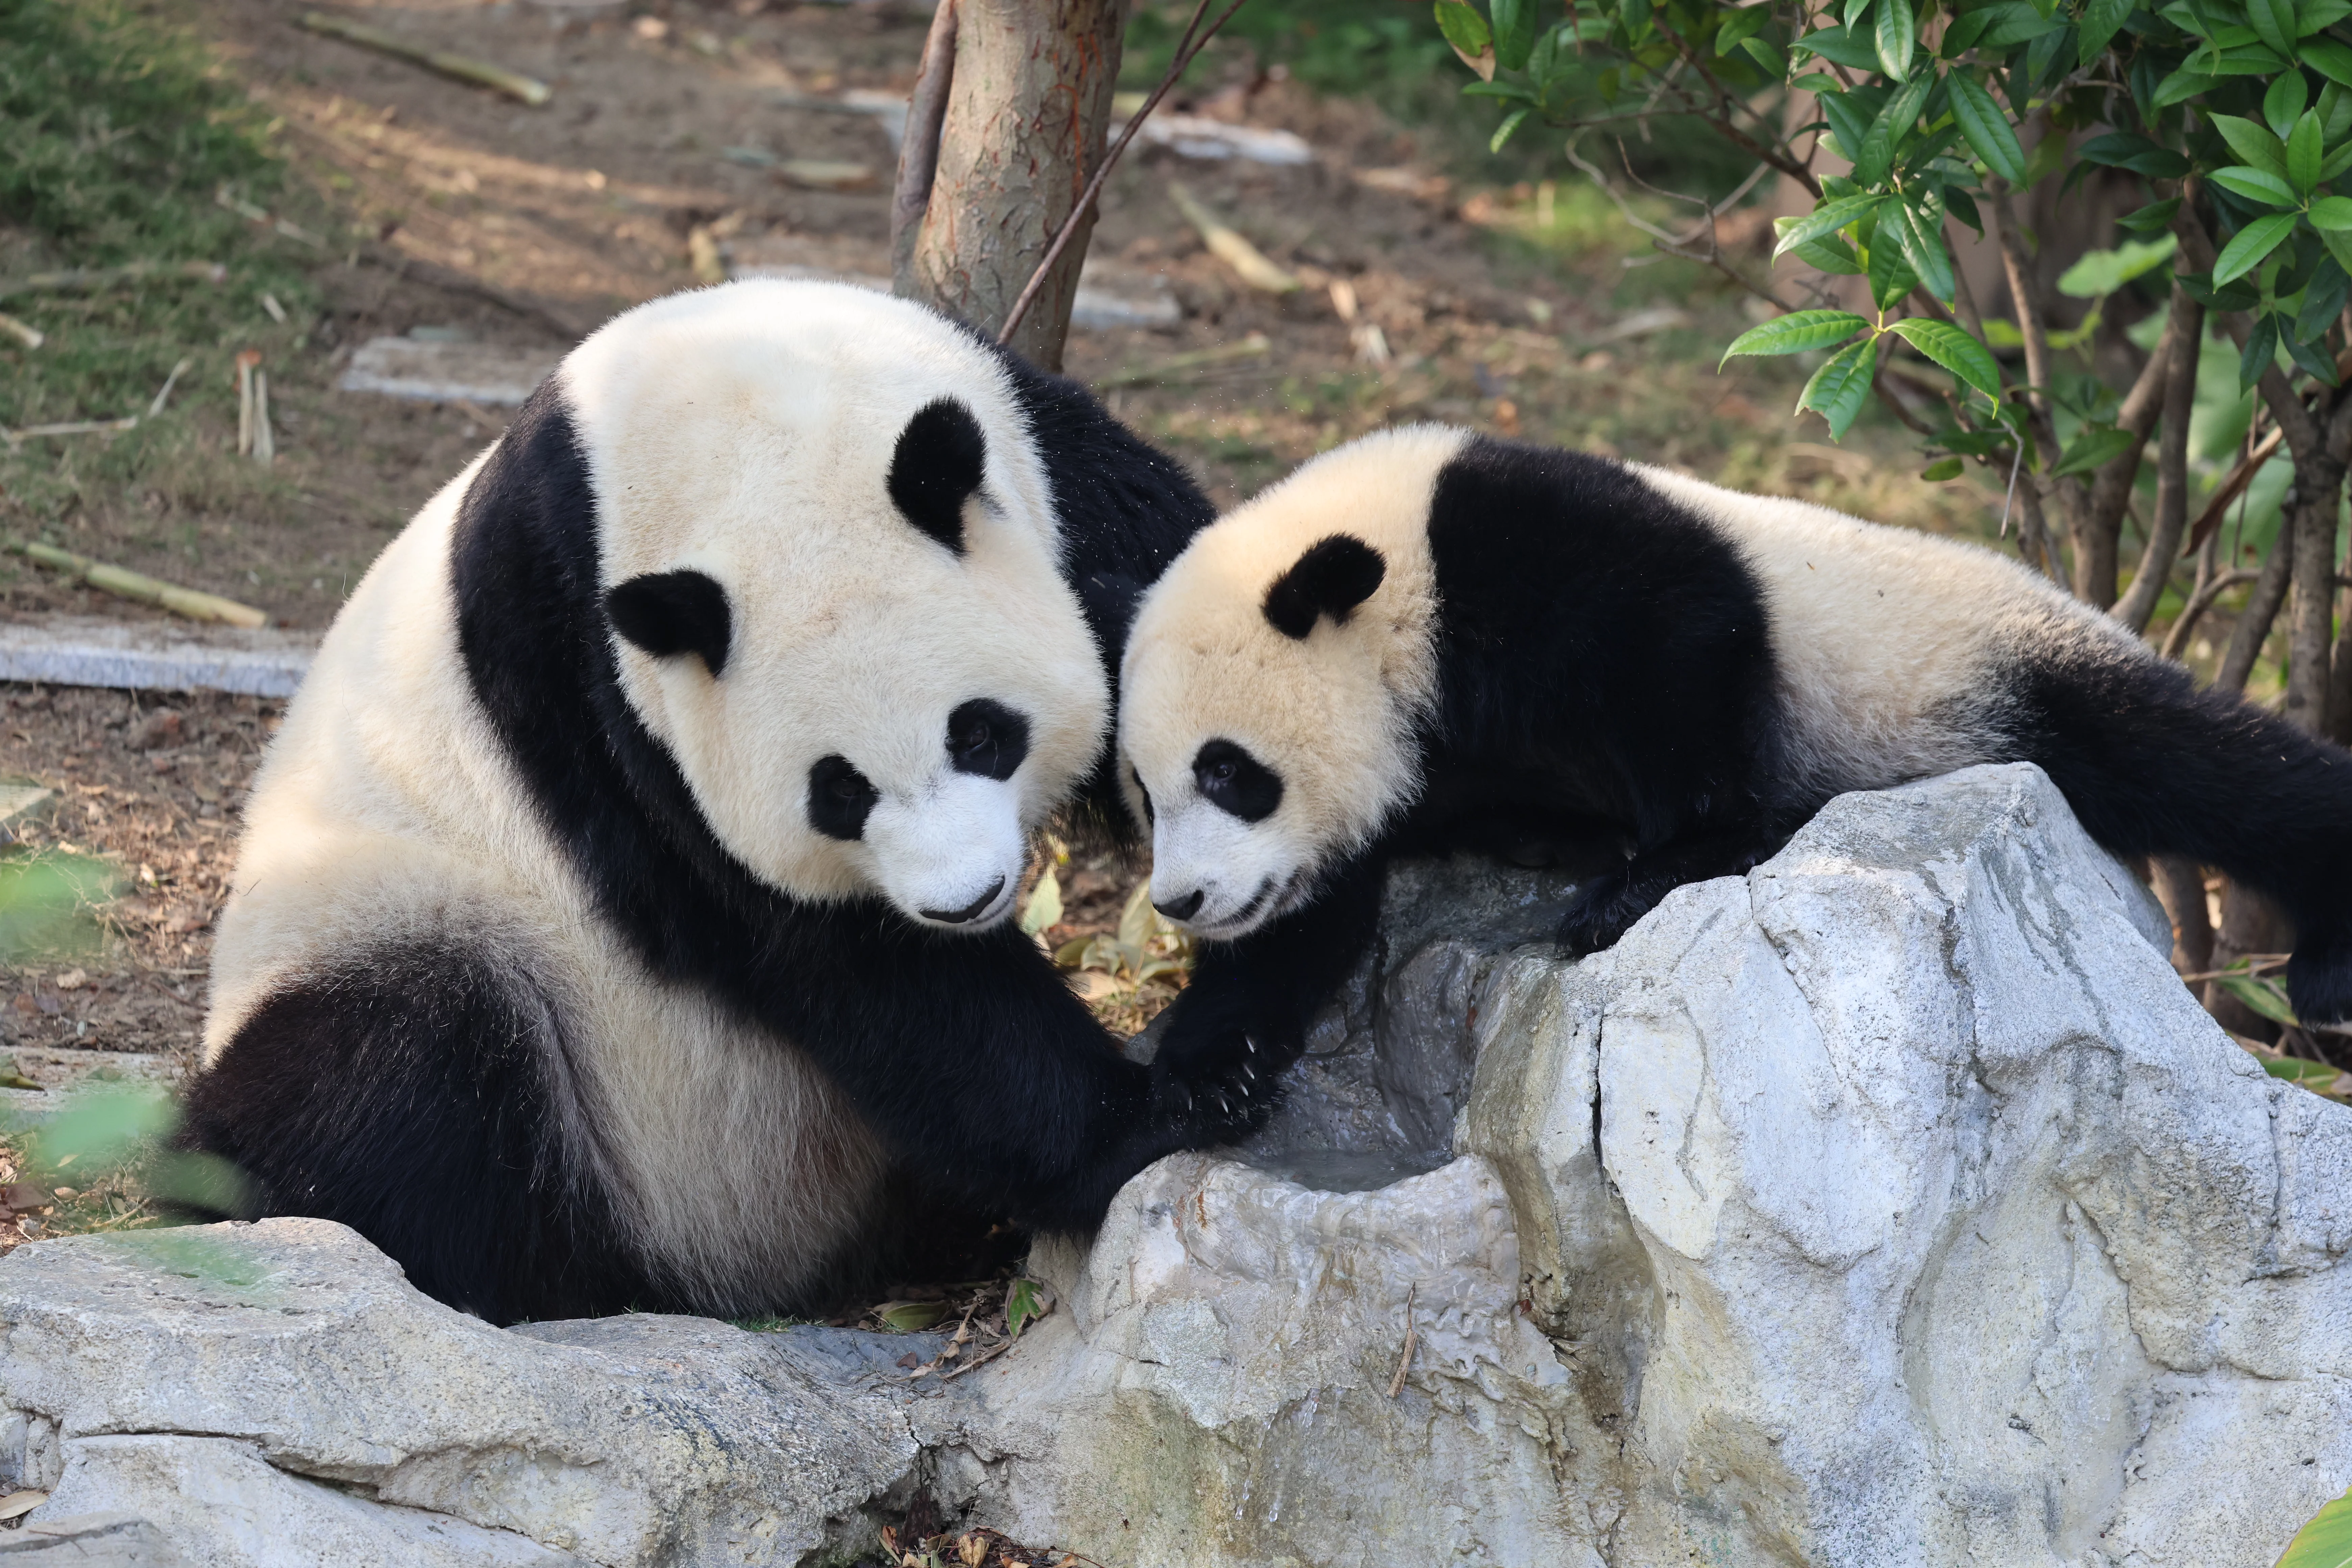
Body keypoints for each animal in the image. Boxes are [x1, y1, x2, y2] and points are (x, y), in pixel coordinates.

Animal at [180, 279, 1281, 1326]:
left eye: (980, 732)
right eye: (839, 791)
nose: (965, 899)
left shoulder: (1055, 459)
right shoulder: (606, 707)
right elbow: (840, 958)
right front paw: (1153, 1116)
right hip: (402, 925)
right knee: (383, 1070)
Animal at [1115, 423, 2352, 1077]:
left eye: (1229, 772)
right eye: (1144, 790)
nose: (1181, 900)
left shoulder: (1536, 557)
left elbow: (1684, 665)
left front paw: (1648, 877)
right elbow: (1318, 908)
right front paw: (1209, 1067)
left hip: (1987, 669)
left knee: (2206, 767)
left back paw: (2326, 966)